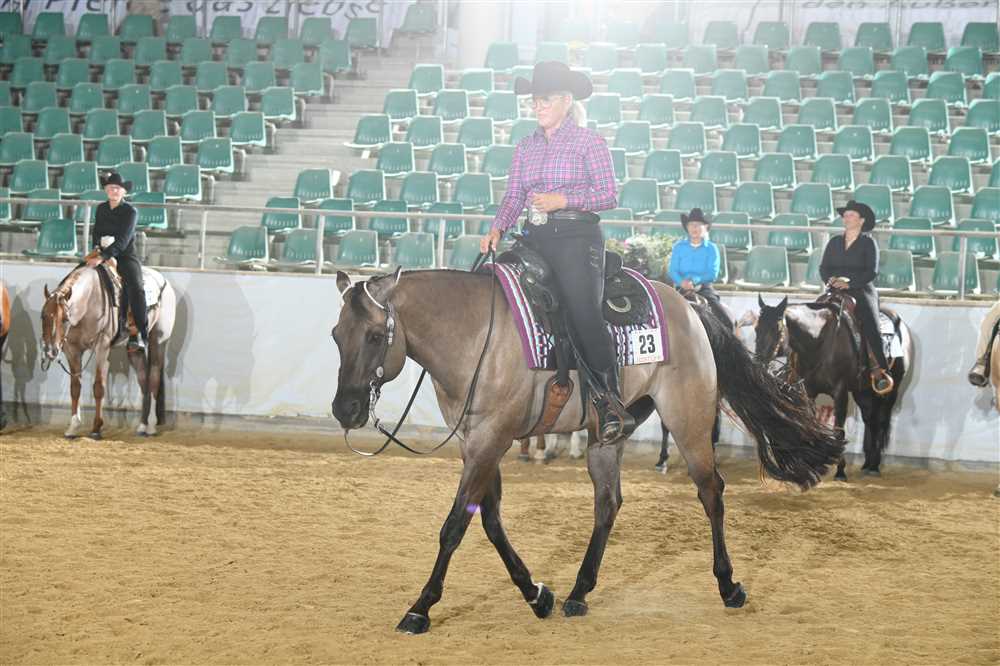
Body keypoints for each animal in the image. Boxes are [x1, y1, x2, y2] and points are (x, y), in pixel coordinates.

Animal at [40, 264, 176, 438]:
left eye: (64, 319)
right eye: (43, 316)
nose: (50, 351)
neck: (90, 300)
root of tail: (164, 281)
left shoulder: (101, 347)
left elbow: (99, 387)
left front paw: (96, 428)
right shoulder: (72, 350)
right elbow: (75, 387)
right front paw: (73, 426)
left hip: (158, 341)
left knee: (154, 377)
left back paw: (151, 426)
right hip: (135, 351)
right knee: (143, 380)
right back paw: (142, 426)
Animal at [330, 268, 842, 634]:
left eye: (374, 336)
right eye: (337, 335)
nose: (345, 408)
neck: (476, 335)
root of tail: (687, 304)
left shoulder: (490, 439)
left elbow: (455, 526)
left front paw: (420, 608)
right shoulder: (476, 443)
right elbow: (491, 521)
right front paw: (537, 594)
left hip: (690, 420)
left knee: (711, 492)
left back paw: (728, 585)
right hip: (606, 435)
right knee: (608, 503)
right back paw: (579, 592)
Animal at [748, 294, 914, 480]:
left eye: (777, 329)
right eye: (757, 328)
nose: (758, 363)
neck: (819, 342)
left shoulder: (840, 392)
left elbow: (838, 431)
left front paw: (840, 471)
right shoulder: (808, 392)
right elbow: (811, 425)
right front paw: (813, 465)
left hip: (892, 389)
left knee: (882, 420)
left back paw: (874, 466)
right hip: (862, 391)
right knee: (870, 420)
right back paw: (867, 463)